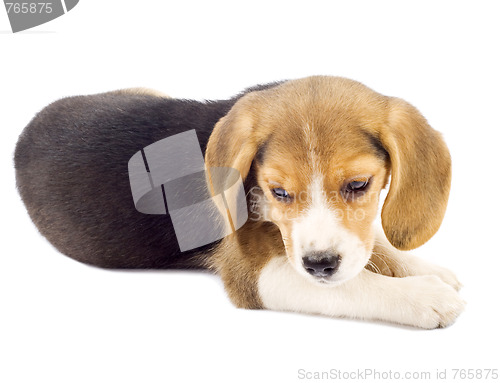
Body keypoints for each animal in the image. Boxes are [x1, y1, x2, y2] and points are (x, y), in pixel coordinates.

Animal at [13, 76, 464, 330]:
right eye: (279, 192)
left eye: (358, 185)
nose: (319, 265)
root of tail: (26, 129)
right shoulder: (252, 273)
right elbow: (353, 285)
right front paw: (425, 295)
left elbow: (373, 244)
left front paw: (423, 268)